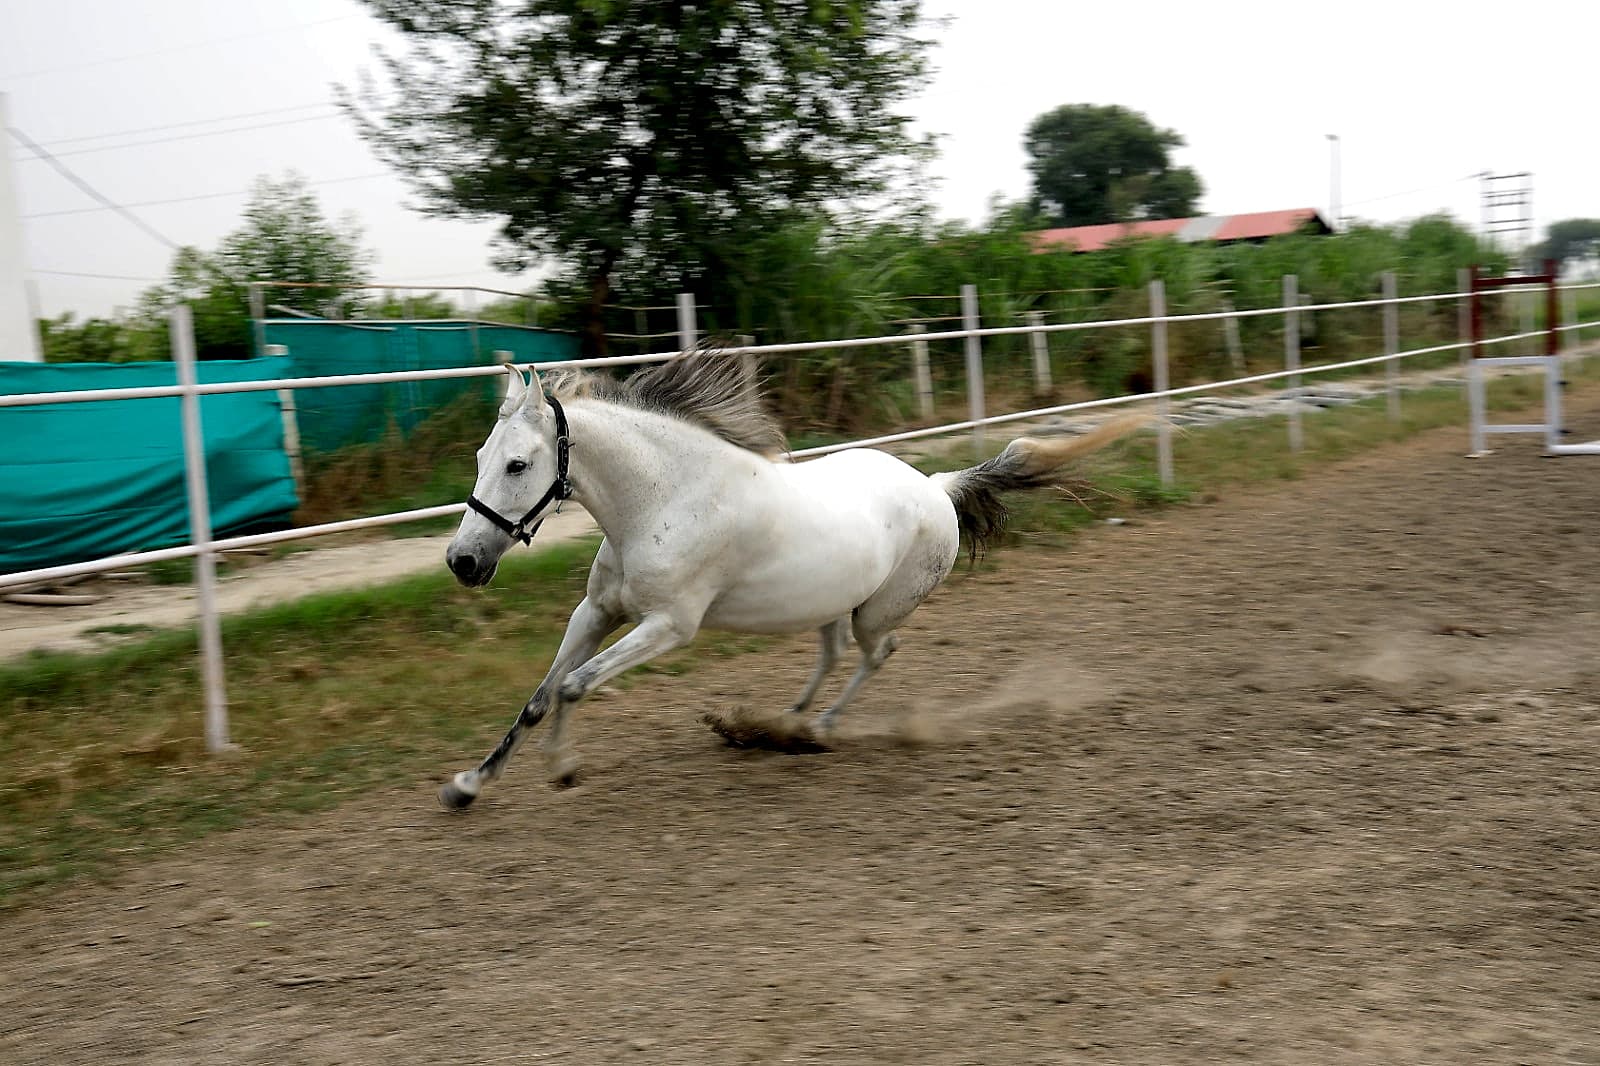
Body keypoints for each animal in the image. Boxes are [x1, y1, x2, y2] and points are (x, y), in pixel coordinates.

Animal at [439, 348, 1145, 809]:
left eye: (518, 464)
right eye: (480, 455)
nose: (463, 561)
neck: (667, 498)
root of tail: (939, 488)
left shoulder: (669, 627)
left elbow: (574, 686)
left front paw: (563, 769)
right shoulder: (596, 612)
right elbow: (540, 696)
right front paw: (467, 786)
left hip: (876, 612)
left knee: (877, 652)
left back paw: (818, 730)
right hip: (831, 603)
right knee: (833, 655)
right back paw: (780, 727)